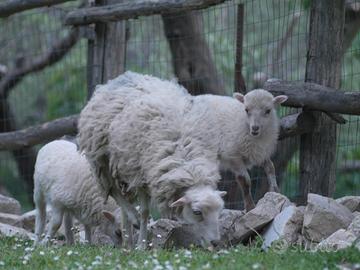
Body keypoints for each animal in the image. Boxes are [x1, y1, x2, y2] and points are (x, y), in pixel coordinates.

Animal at [77, 71, 226, 249]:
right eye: (197, 212)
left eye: (219, 211)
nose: (216, 242)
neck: (187, 165)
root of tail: (121, 77)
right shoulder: (141, 174)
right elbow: (145, 212)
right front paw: (142, 244)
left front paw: (140, 243)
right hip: (102, 159)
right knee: (114, 192)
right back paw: (132, 223)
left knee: (123, 203)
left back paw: (127, 241)